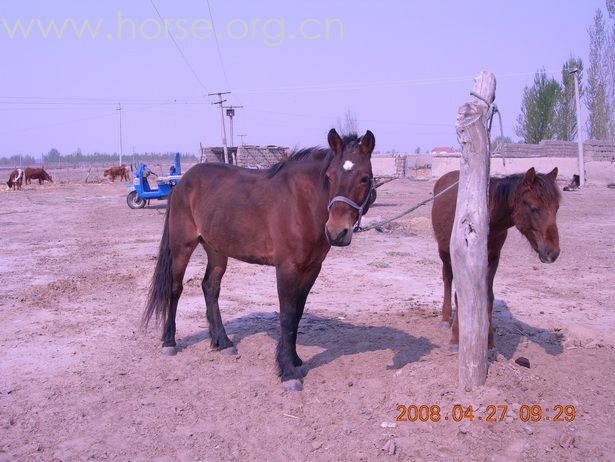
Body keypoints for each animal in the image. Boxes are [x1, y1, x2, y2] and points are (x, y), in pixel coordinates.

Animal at [144, 129, 378, 390]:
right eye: (329, 176)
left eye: (364, 178)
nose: (337, 232)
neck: (302, 203)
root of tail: (182, 182)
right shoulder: (287, 268)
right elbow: (287, 315)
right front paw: (288, 372)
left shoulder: (311, 268)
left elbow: (297, 314)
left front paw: (295, 360)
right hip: (182, 247)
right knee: (175, 288)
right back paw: (169, 342)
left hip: (216, 249)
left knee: (210, 287)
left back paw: (222, 342)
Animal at [430, 168, 560, 348]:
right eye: (534, 208)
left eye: (557, 208)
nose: (553, 253)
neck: (482, 219)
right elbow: (459, 294)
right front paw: (456, 337)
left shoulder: (493, 257)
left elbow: (488, 296)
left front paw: (489, 338)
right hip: (444, 252)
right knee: (447, 279)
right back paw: (445, 319)